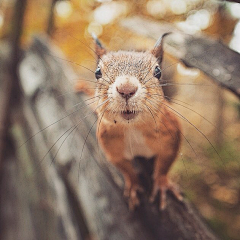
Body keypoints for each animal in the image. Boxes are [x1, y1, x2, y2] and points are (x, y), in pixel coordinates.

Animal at [78, 33, 183, 210]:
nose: (126, 89)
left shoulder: (172, 136)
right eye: (97, 72)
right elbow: (126, 170)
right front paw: (134, 186)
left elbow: (164, 164)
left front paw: (162, 184)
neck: (132, 129)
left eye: (158, 71)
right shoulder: (112, 149)